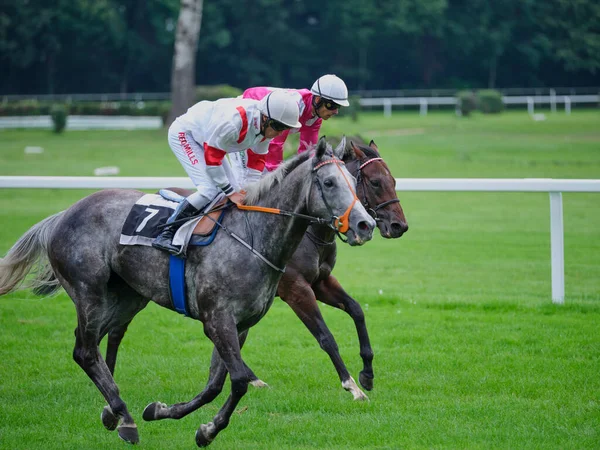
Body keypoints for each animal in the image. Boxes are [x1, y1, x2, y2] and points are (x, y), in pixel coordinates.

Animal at [0, 137, 376, 446]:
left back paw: (111, 411)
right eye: (328, 182)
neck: (253, 236)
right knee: (85, 351)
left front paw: (168, 413)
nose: (366, 225)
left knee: (95, 342)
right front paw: (207, 429)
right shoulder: (218, 319)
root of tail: (64, 213)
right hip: (88, 291)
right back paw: (124, 417)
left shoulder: (239, 324)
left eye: (354, 181)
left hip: (128, 297)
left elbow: (215, 384)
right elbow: (238, 380)